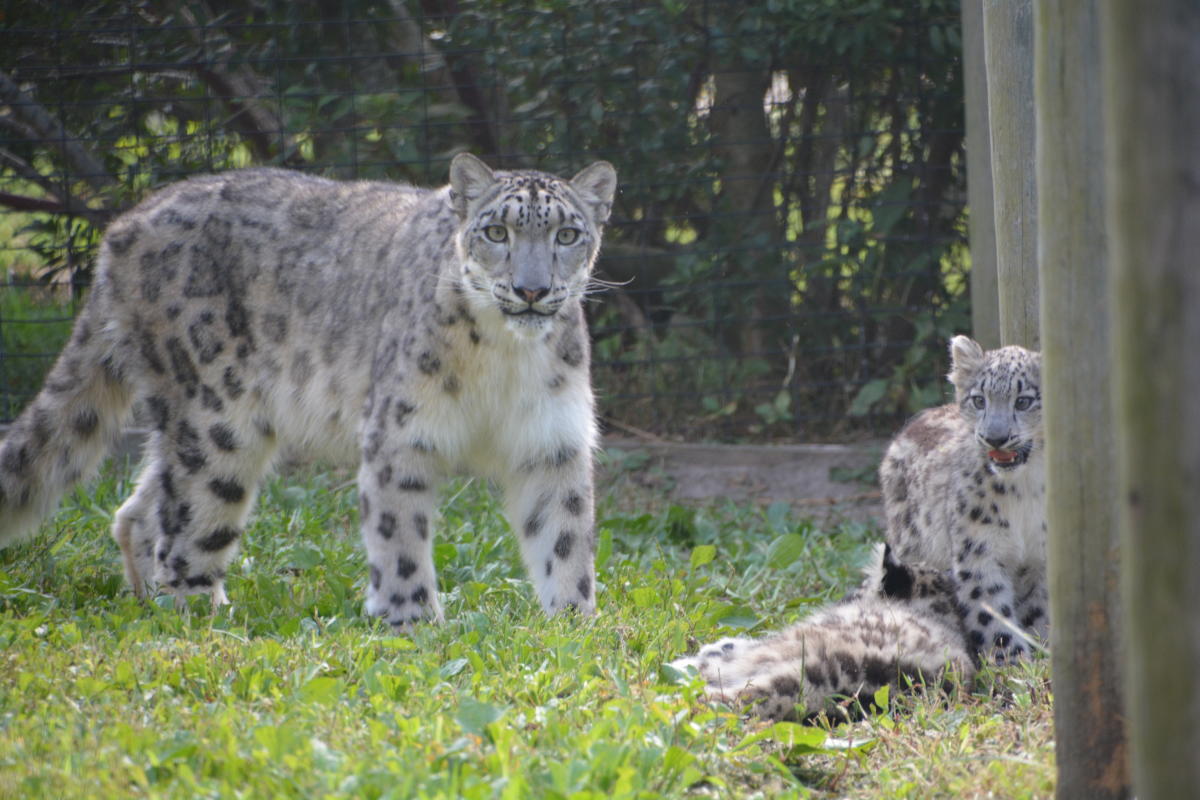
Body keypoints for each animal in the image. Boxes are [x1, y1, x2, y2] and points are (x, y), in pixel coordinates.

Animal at [0, 154, 619, 633]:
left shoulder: (552, 439)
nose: (532, 289)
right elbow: (400, 535)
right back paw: (203, 616)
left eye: (567, 234)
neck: (504, 359)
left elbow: (563, 533)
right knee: (192, 520)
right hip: (216, 416)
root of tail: (122, 228)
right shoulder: (401, 432)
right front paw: (413, 621)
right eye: (496, 232)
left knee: (143, 508)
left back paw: (152, 599)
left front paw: (575, 623)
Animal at [878, 338, 1046, 662]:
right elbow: (991, 612)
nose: (995, 437)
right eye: (979, 400)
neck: (1023, 489)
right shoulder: (978, 549)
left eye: (1023, 401)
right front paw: (1011, 661)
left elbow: (1040, 608)